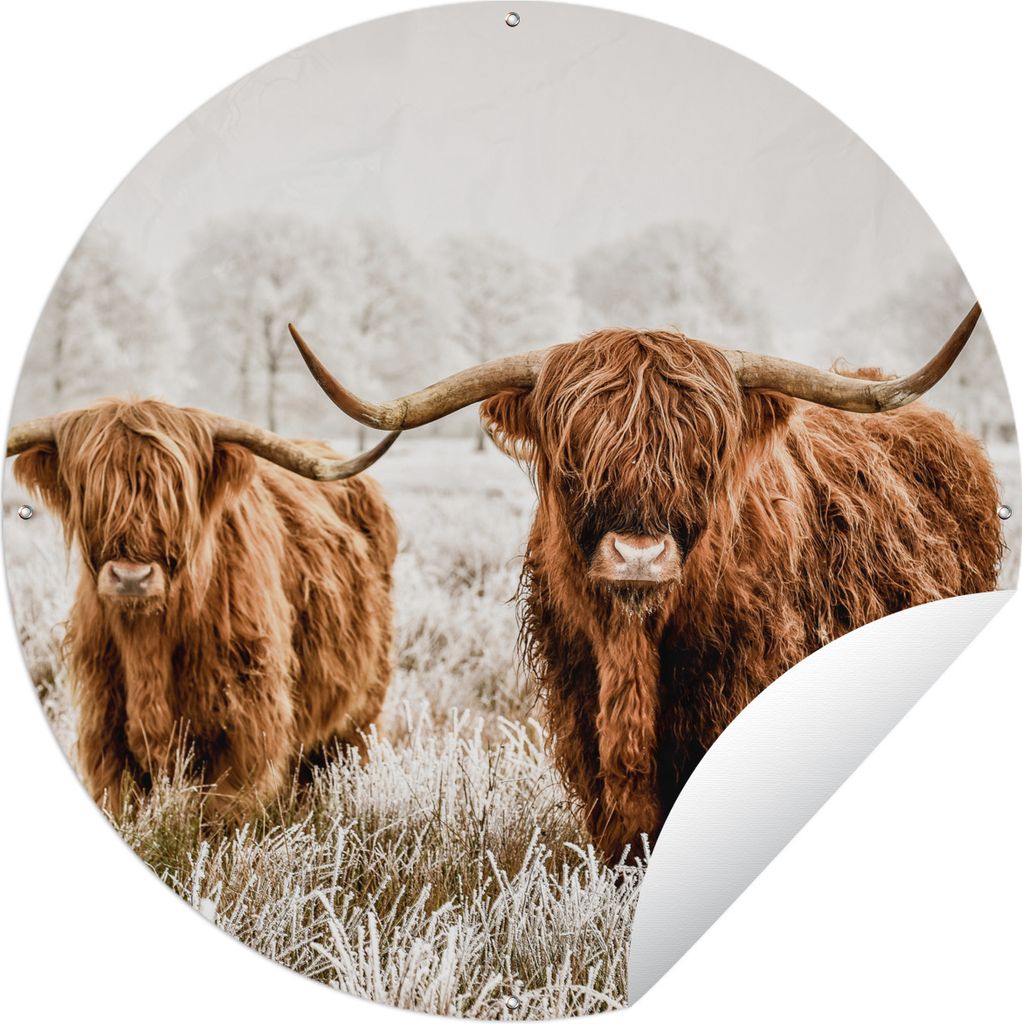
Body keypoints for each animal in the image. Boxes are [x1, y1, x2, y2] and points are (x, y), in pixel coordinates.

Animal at [7, 399, 400, 818]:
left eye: (177, 493)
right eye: (89, 490)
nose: (131, 578)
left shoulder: (244, 730)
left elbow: (221, 814)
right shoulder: (104, 728)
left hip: (362, 708)